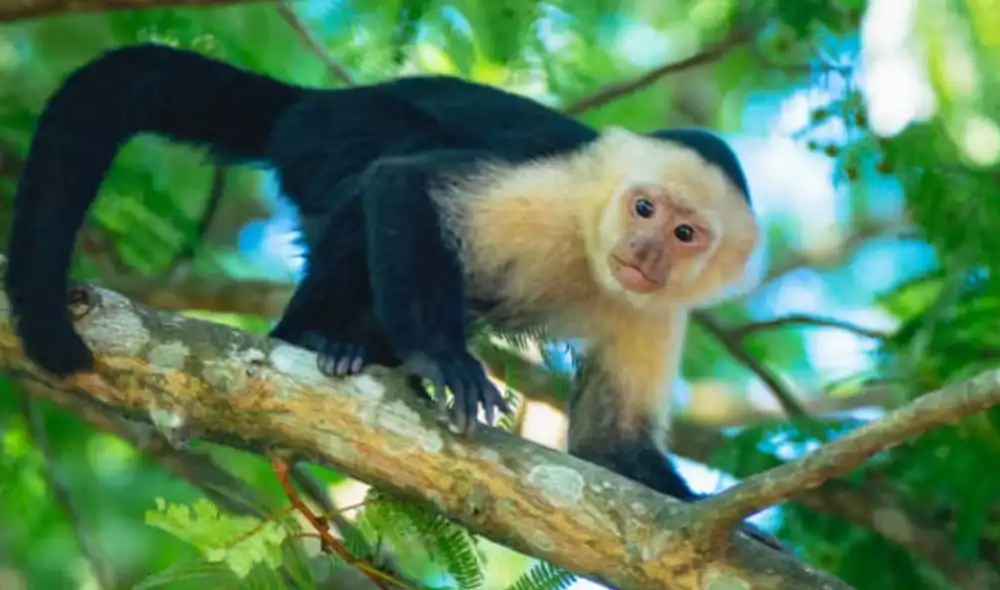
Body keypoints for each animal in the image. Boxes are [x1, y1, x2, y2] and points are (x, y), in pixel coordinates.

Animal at [5, 44, 775, 547]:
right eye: (643, 208)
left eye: (684, 233)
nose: (644, 253)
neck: (589, 249)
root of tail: (319, 100)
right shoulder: (554, 196)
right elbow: (405, 181)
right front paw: (442, 359)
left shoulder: (660, 312)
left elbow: (607, 448)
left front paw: (720, 519)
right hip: (330, 134)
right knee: (375, 175)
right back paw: (314, 338)